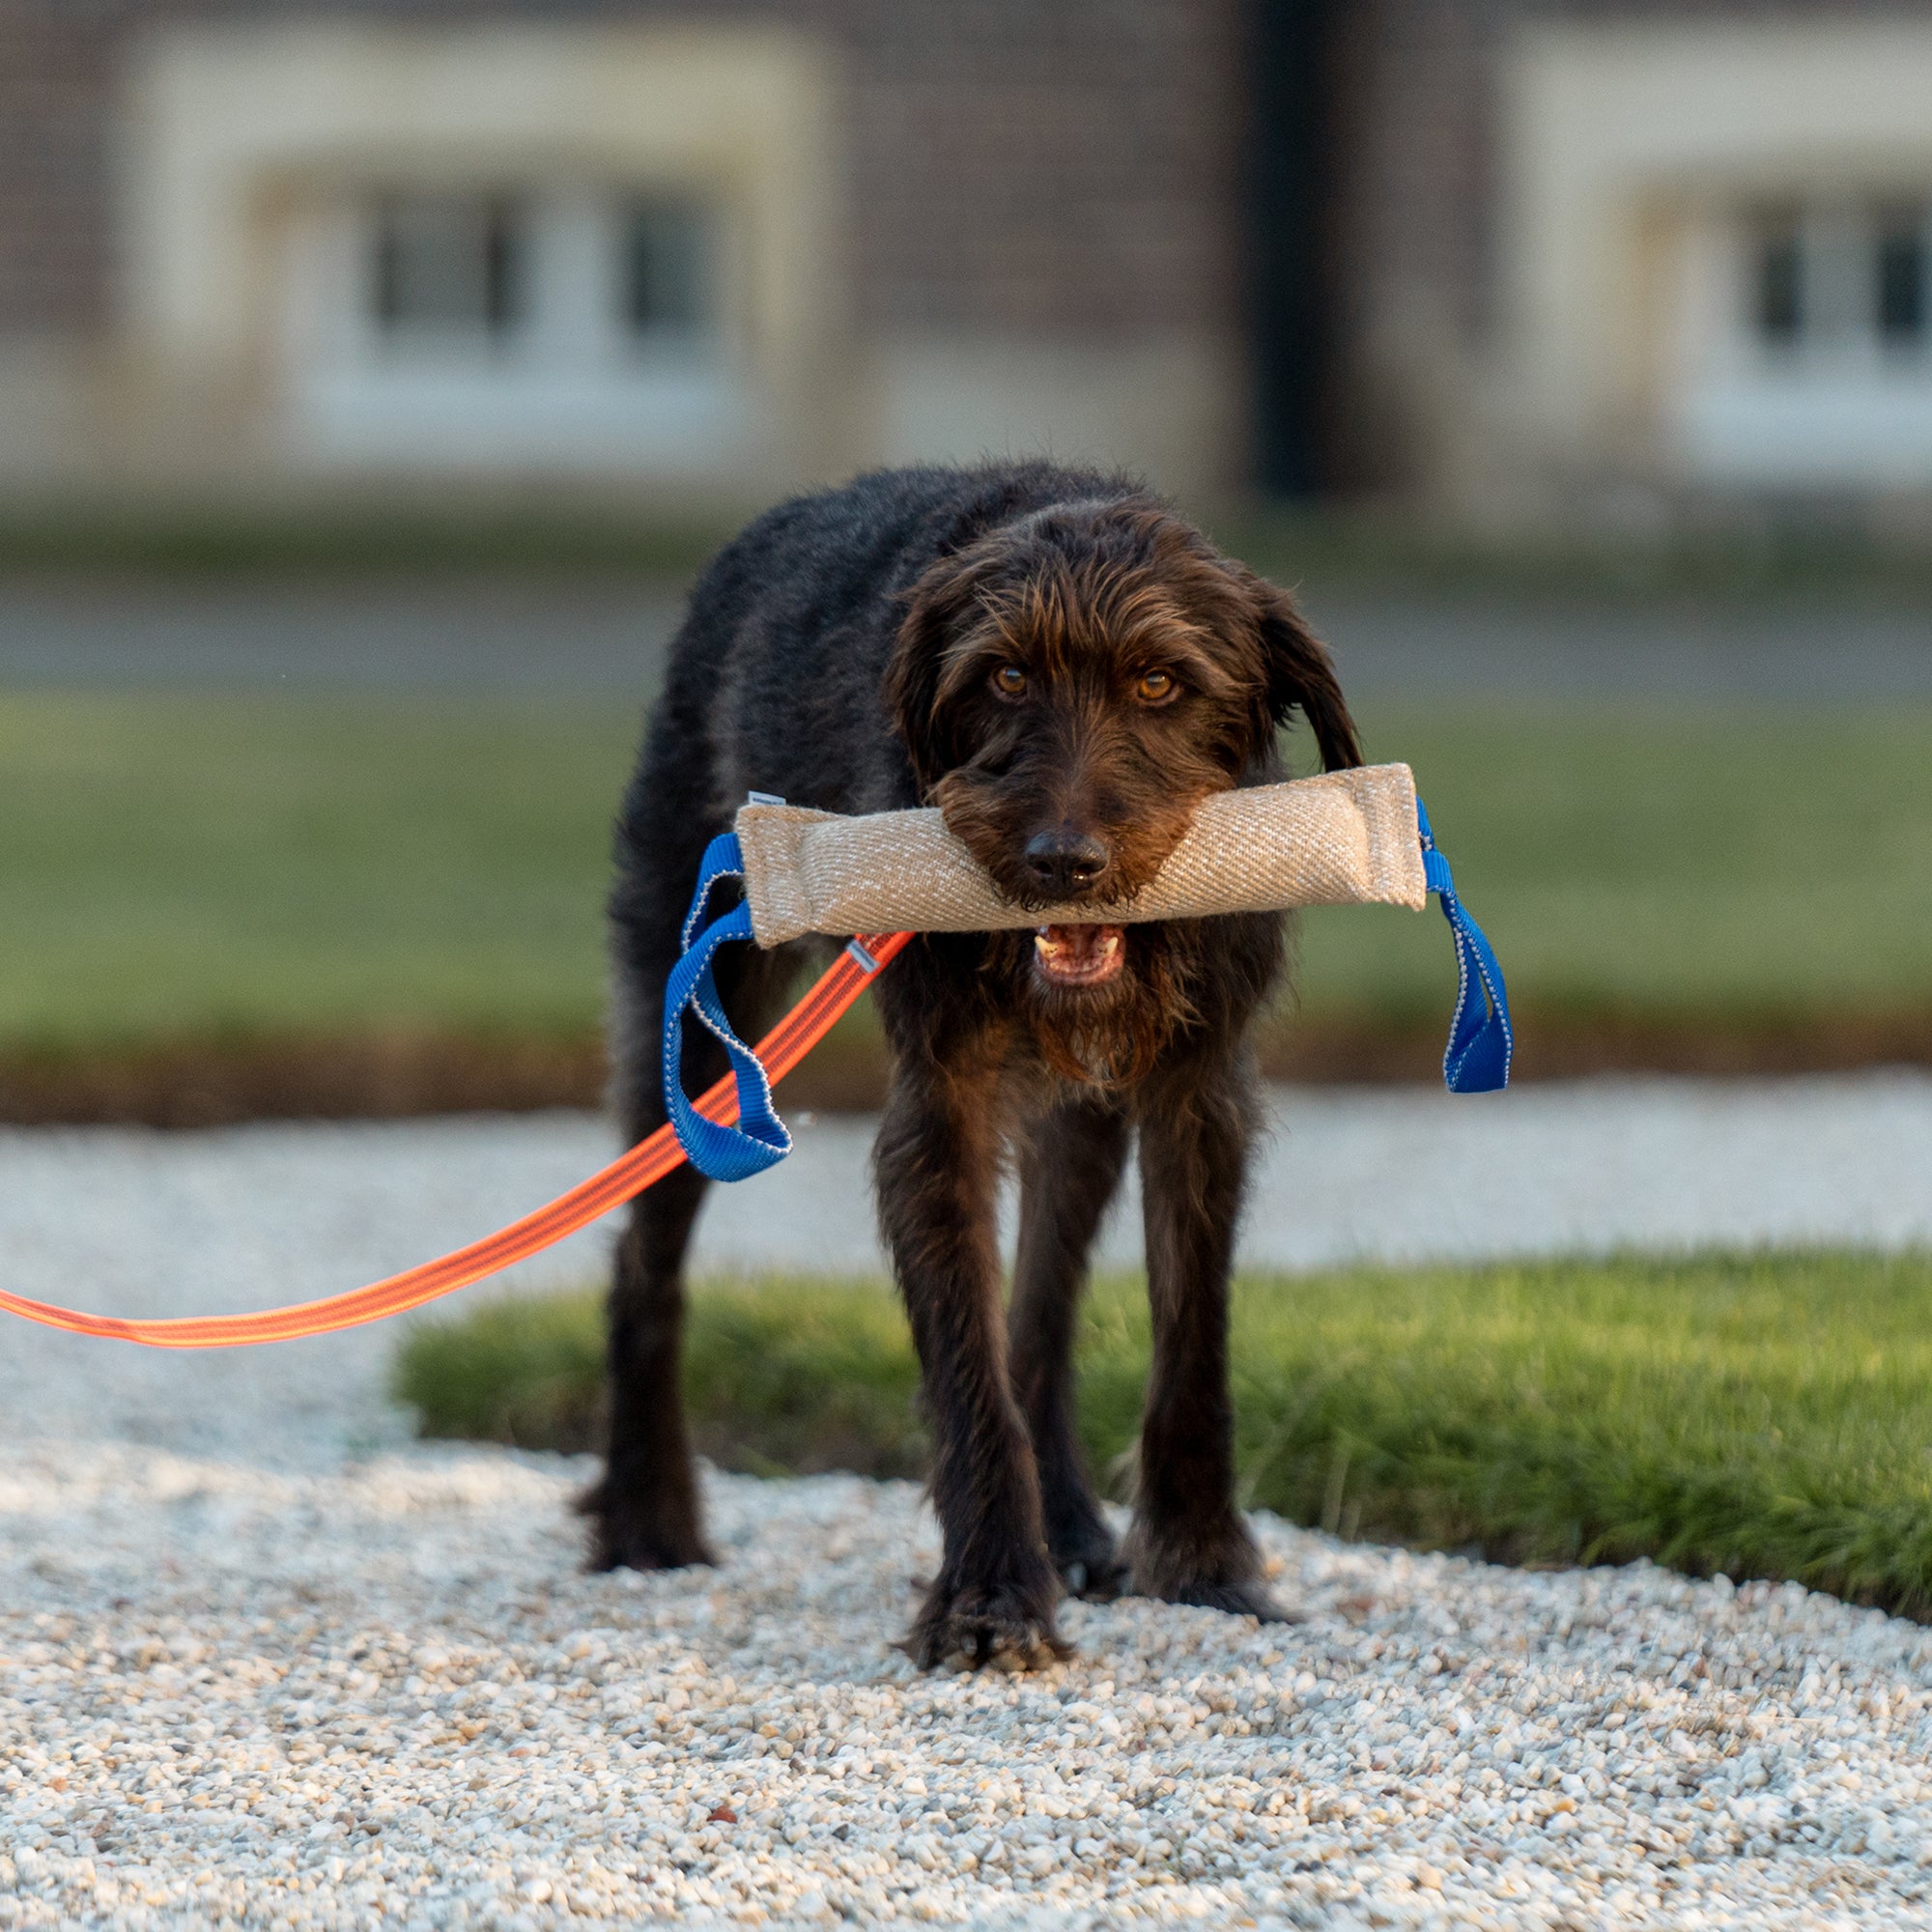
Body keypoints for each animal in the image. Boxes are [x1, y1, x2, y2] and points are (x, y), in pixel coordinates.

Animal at [580, 460, 1368, 1669]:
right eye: (1002, 676)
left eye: (1158, 682)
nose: (1061, 860)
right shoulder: (940, 1109)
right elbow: (966, 1360)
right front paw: (990, 1598)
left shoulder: (1195, 1094)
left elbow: (1188, 1330)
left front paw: (1201, 1564)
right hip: (699, 1021)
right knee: (642, 1260)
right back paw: (644, 1514)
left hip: (1078, 1120)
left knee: (1040, 1311)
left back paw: (1076, 1527)